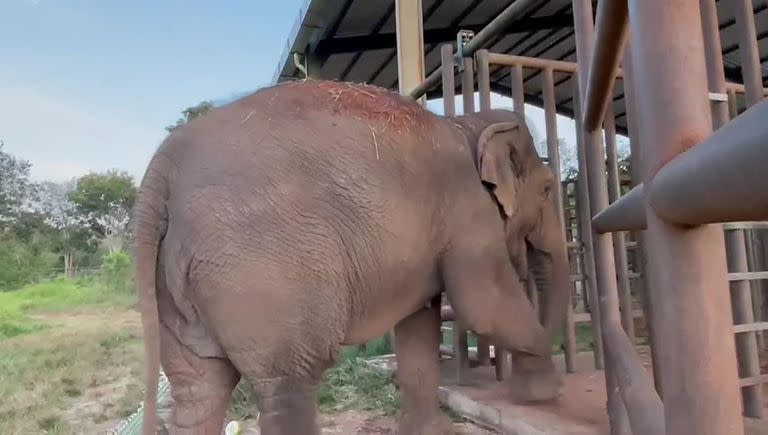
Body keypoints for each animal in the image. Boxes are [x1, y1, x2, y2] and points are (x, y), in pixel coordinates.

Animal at [135, 79, 568, 435]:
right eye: (548, 189)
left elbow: (419, 324)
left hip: (176, 280)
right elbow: (485, 306)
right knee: (291, 378)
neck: (469, 123)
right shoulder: (468, 212)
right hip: (262, 269)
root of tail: (162, 169)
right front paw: (544, 393)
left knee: (198, 387)